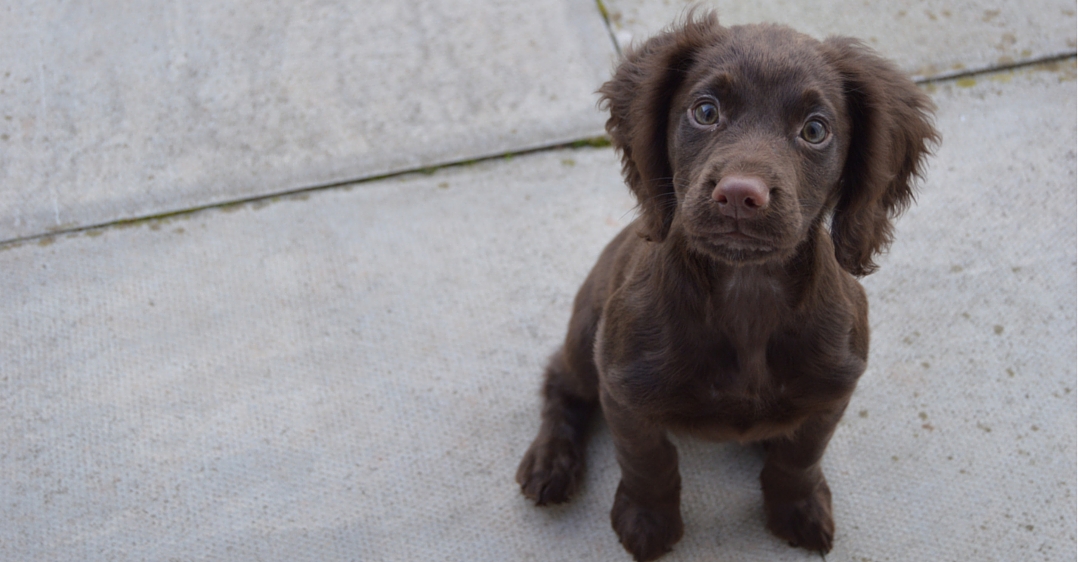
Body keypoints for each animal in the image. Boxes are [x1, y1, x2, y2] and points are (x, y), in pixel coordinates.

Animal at [513, 9, 935, 560]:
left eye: (815, 130)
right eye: (706, 112)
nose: (739, 195)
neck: (746, 294)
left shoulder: (831, 393)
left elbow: (799, 458)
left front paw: (797, 508)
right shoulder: (623, 389)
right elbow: (648, 462)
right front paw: (648, 522)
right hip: (588, 335)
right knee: (561, 382)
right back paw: (551, 460)